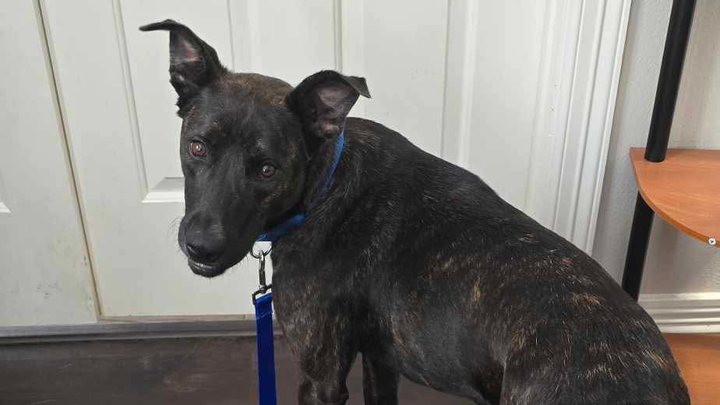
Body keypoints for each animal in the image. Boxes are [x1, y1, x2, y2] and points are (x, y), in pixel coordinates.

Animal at [141, 20, 690, 405]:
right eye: (196, 147)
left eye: (268, 169)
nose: (201, 246)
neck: (325, 188)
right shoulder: (380, 362)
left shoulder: (319, 375)